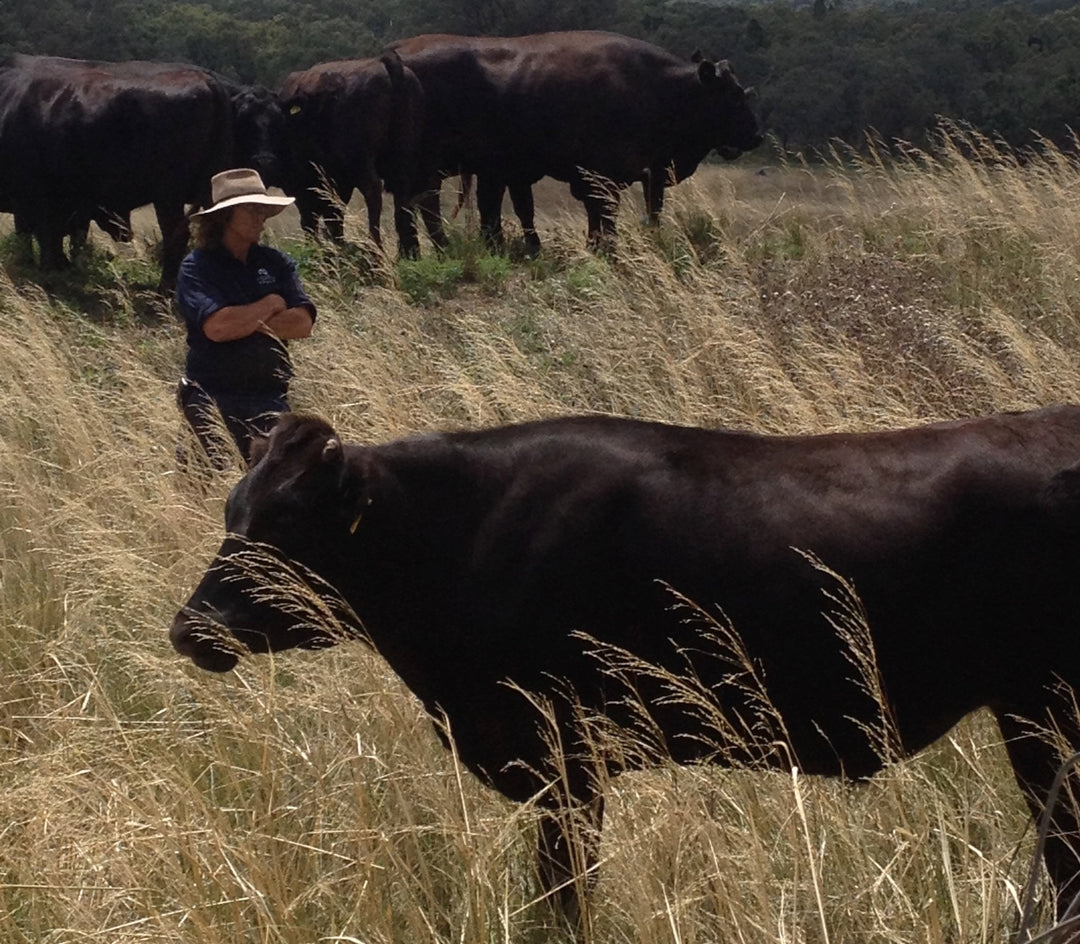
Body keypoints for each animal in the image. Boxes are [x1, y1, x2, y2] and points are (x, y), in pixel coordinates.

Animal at [0, 54, 282, 282]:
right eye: (247, 120)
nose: (266, 161)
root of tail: (207, 82)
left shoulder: (39, 197)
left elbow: (43, 237)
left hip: (168, 196)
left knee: (176, 237)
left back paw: (164, 292)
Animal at [170, 406, 1080, 933]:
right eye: (233, 510)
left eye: (289, 523)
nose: (191, 629)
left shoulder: (566, 761)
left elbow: (563, 896)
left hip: (1044, 714)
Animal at [276, 53, 423, 248]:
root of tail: (384, 63)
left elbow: (312, 217)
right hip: (402, 153)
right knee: (403, 194)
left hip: (361, 162)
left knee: (373, 191)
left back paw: (375, 245)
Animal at [386, 32, 760, 253]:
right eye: (733, 96)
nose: (755, 136)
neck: (656, 87)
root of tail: (397, 54)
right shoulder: (605, 177)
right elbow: (606, 217)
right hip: (429, 167)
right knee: (424, 205)